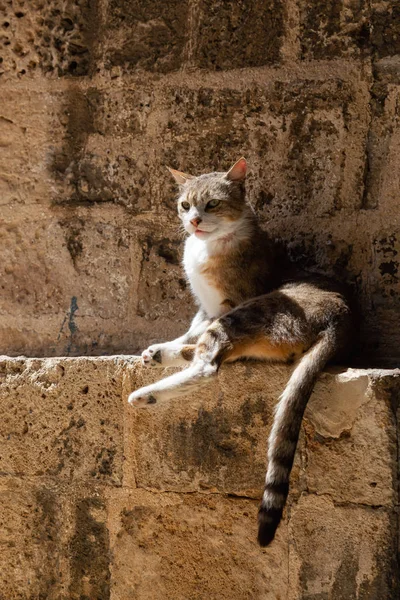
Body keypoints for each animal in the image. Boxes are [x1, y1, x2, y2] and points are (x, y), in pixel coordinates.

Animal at [128, 159, 354, 548]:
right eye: (185, 205)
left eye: (212, 205)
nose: (194, 221)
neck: (206, 247)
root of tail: (339, 319)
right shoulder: (204, 307)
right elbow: (191, 329)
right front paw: (164, 347)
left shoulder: (229, 303)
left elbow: (203, 338)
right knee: (213, 353)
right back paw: (160, 357)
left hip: (252, 311)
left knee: (209, 365)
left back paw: (146, 394)